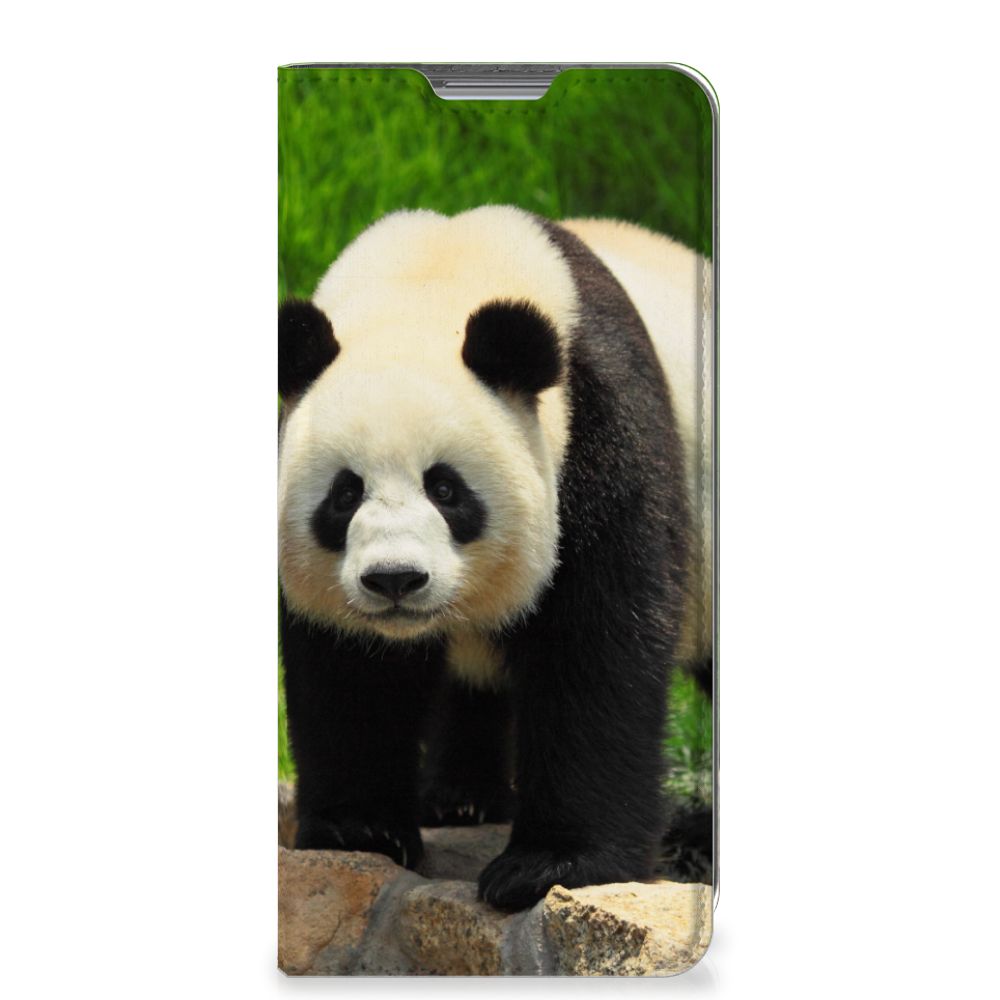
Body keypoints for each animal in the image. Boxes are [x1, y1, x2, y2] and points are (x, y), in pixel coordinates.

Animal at [278, 205, 713, 912]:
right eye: (344, 494)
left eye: (446, 489)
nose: (395, 580)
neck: (431, 279)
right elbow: (350, 669)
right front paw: (359, 830)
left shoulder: (601, 429)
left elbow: (596, 645)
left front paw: (550, 865)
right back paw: (460, 798)